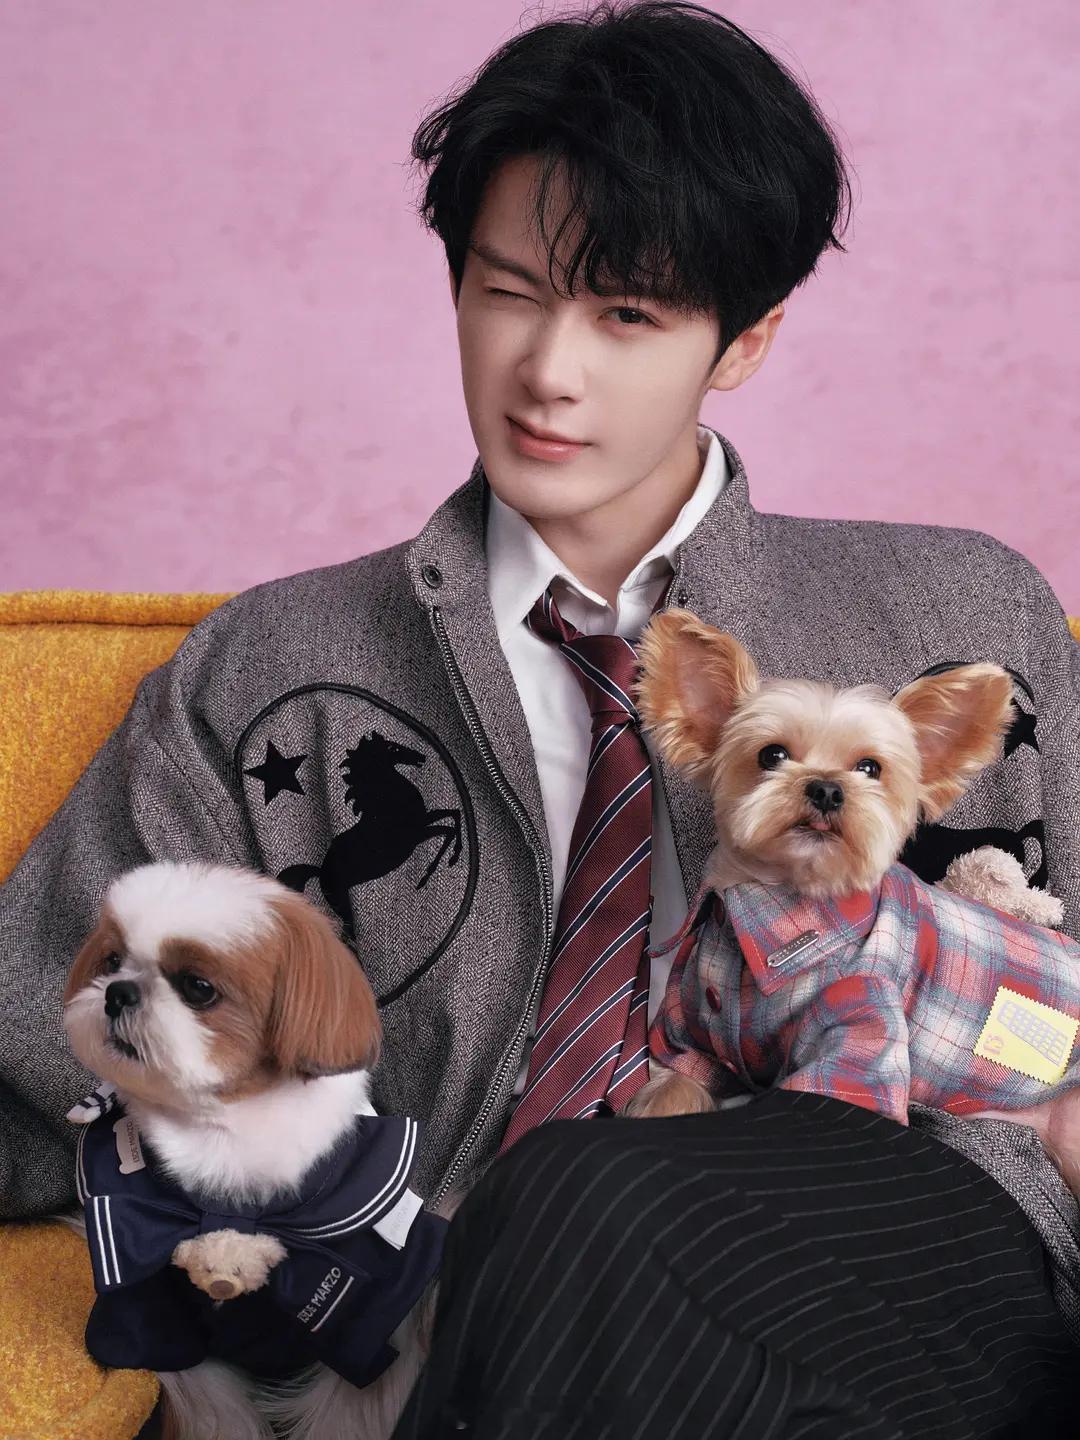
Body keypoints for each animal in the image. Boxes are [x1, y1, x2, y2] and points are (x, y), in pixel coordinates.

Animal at [62, 860, 442, 1440]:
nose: (117, 992)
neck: (224, 1138)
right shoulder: (146, 1301)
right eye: (110, 961)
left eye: (198, 988)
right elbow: (213, 1406)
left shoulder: (368, 1313)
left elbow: (347, 1410)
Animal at [625, 610, 1080, 1192]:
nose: (825, 788)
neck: (786, 912)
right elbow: (673, 1088)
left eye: (870, 768)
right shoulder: (689, 1037)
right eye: (771, 755)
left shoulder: (865, 1015)